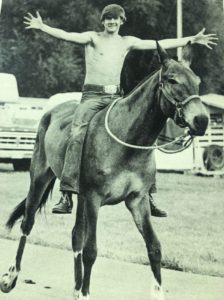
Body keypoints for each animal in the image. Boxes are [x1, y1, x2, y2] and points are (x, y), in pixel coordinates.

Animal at [0, 42, 209, 300]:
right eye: (172, 79)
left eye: (197, 81)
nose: (202, 120)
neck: (126, 139)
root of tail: (51, 112)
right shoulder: (94, 199)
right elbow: (91, 250)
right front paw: (86, 293)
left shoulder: (137, 201)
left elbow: (154, 247)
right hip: (39, 178)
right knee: (27, 224)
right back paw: (11, 277)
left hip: (78, 198)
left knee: (75, 235)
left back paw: (75, 287)